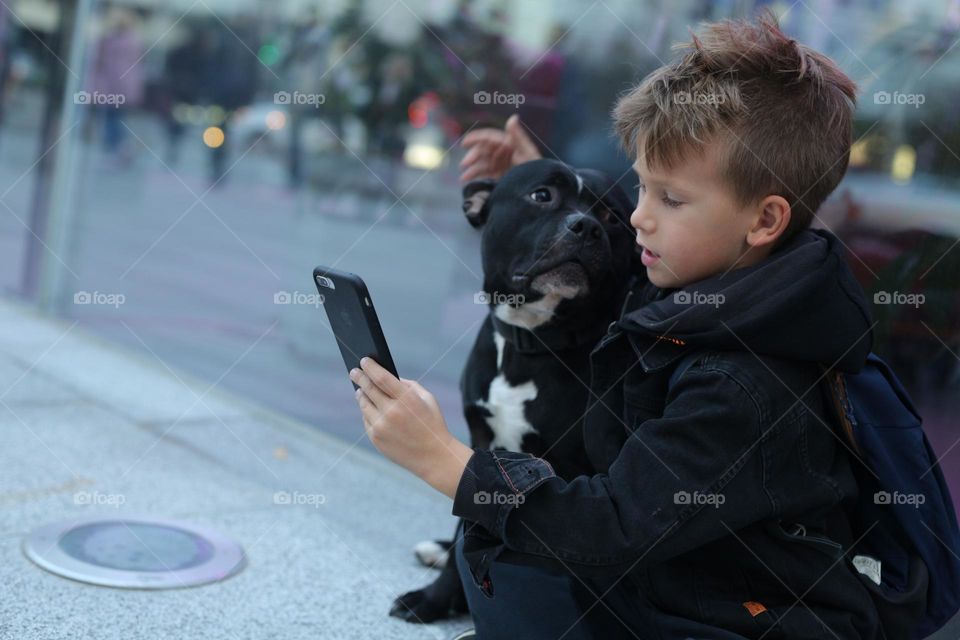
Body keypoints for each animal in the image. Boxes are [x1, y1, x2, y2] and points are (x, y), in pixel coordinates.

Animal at [386, 158, 640, 624]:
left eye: (613, 216)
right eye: (542, 195)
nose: (587, 226)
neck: (532, 341)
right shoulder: (480, 454)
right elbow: (468, 530)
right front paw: (437, 597)